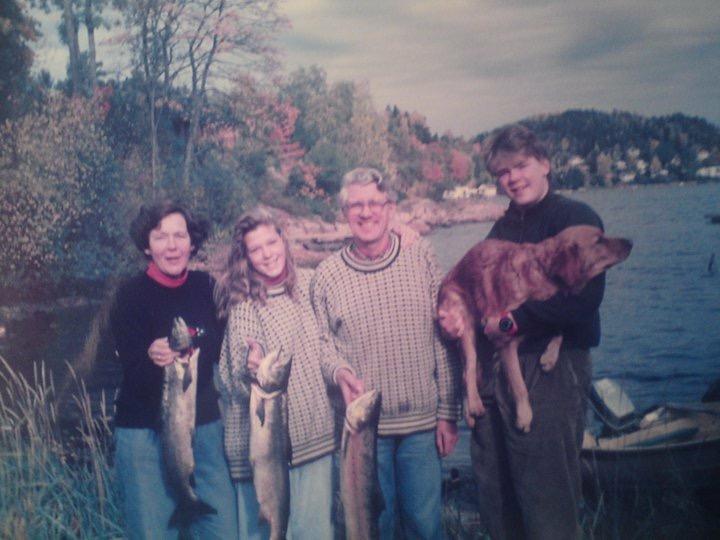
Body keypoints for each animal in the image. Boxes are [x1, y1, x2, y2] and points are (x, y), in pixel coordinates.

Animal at [438, 226, 632, 432]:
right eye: (599, 240)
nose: (630, 242)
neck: (544, 275)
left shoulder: (554, 310)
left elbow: (561, 327)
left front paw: (549, 356)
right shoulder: (504, 339)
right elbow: (519, 385)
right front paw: (524, 416)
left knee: (468, 376)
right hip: (465, 329)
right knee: (468, 372)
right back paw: (474, 405)